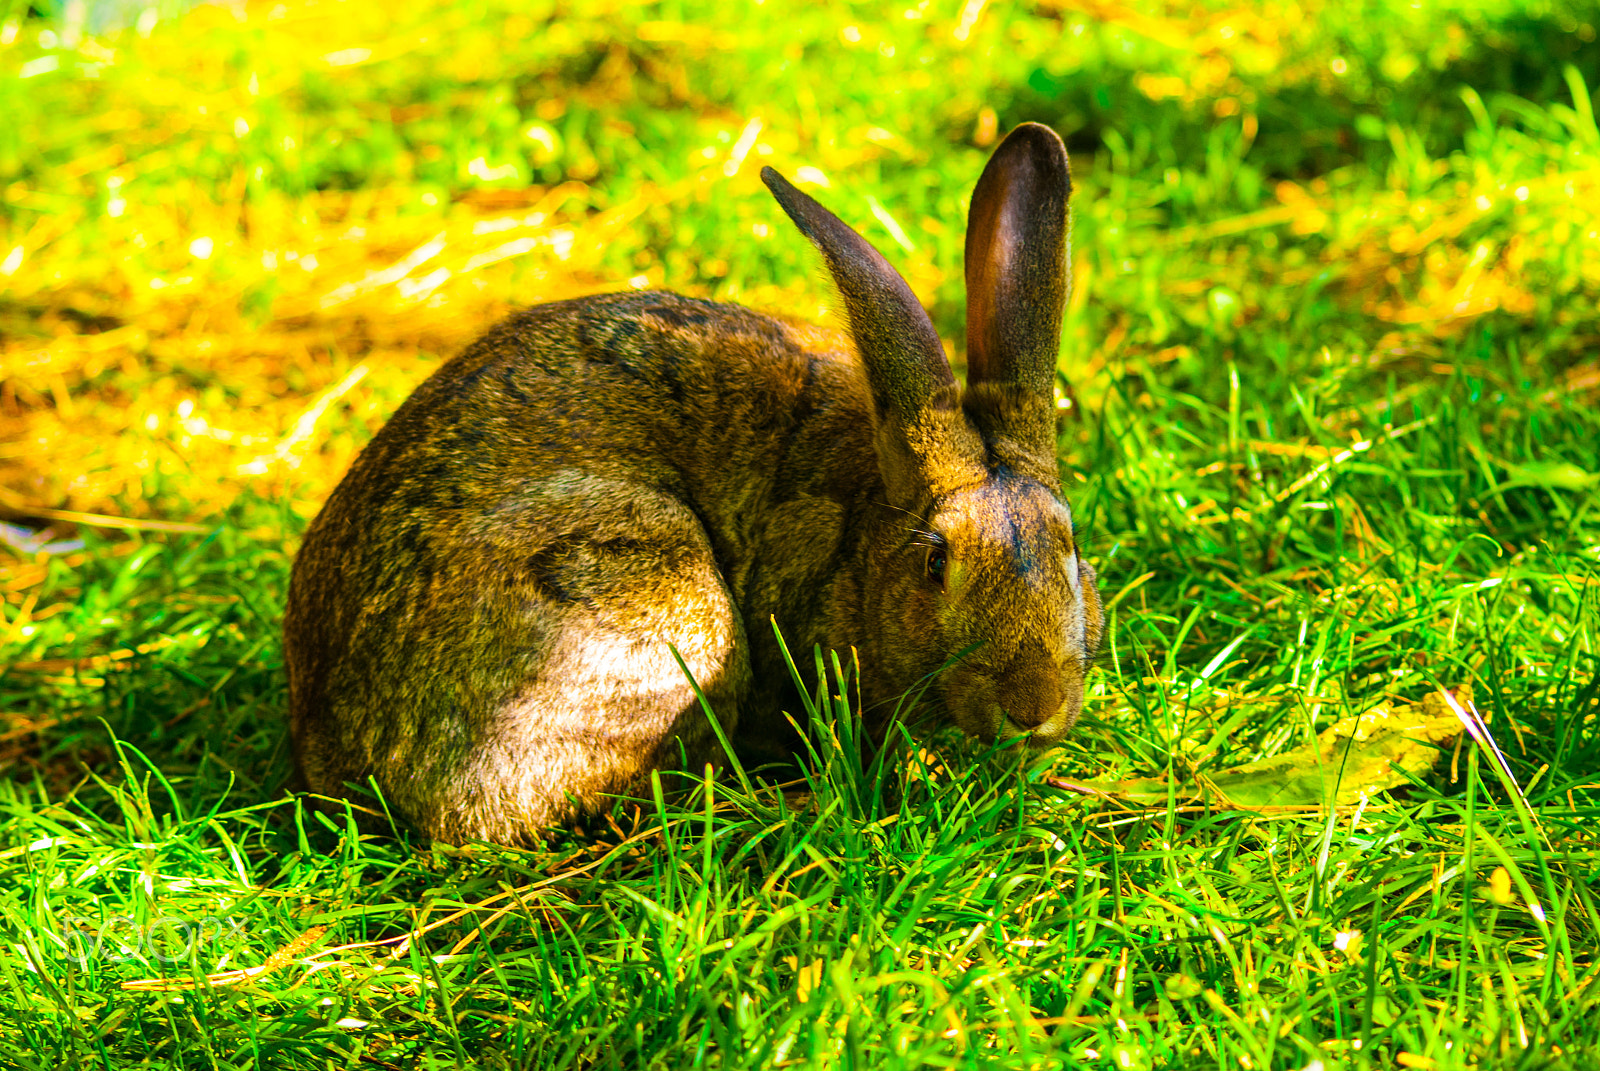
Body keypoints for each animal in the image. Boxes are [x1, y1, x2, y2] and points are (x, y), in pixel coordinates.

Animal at [284, 123, 1100, 845]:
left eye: (1070, 551)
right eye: (937, 564)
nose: (1035, 705)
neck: (864, 533)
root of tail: (336, 751)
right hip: (652, 588)